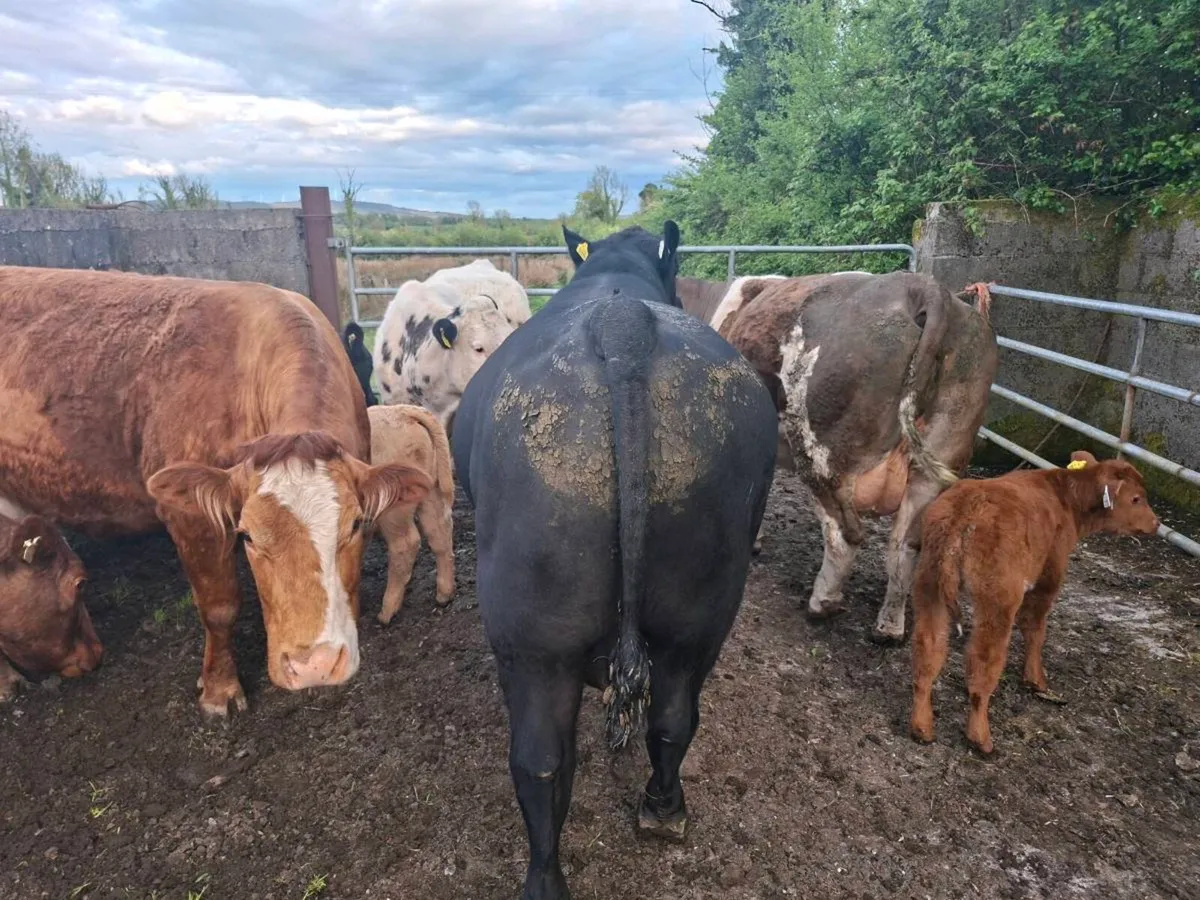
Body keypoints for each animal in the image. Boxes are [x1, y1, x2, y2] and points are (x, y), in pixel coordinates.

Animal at [366, 404, 456, 625]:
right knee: (440, 533)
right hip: (431, 493)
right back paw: (444, 596)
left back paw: (386, 613)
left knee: (406, 543)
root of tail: (402, 410)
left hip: (392, 511)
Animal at [450, 222, 778, 900]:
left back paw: (546, 877)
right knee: (672, 718)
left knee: (540, 757)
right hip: (699, 610)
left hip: (534, 639)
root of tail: (624, 327)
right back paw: (663, 810)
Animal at [682, 271, 998, 643]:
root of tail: (924, 286)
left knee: (845, 534)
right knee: (907, 545)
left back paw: (822, 602)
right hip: (936, 463)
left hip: (822, 456)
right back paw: (889, 626)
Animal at [909, 450, 1161, 754]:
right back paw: (980, 737)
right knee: (983, 661)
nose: (1157, 523)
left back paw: (922, 727)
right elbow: (1035, 629)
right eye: (1136, 498)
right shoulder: (1048, 577)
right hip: (997, 600)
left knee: (928, 649)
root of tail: (965, 510)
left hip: (928, 585)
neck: (1065, 497)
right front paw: (1035, 680)